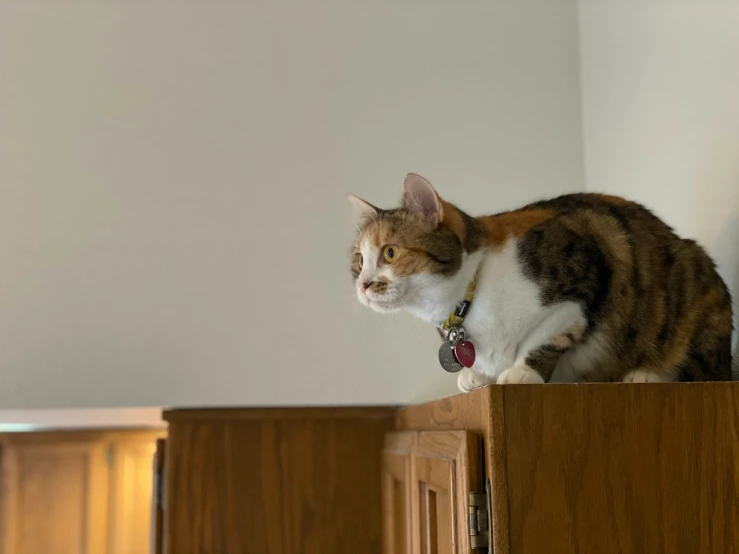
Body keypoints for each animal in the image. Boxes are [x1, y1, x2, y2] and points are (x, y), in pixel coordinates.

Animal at [350, 172, 732, 388]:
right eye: (359, 260)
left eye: (390, 253)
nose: (362, 285)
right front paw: (480, 375)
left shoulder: (586, 268)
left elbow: (551, 335)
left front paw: (523, 371)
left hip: (693, 286)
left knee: (707, 371)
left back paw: (647, 374)